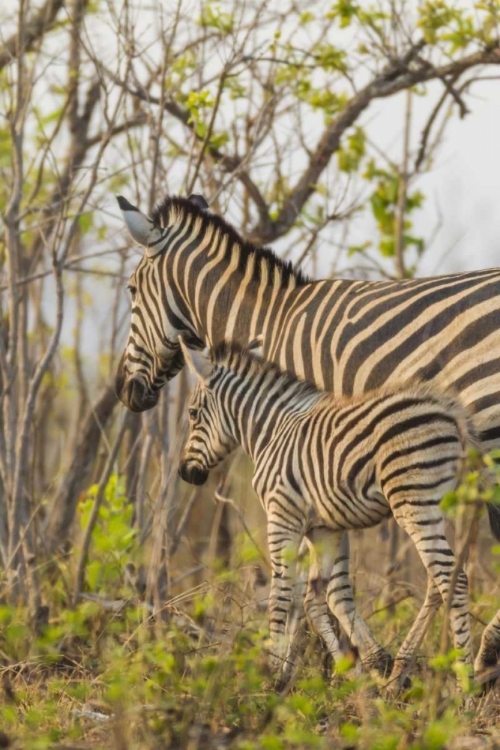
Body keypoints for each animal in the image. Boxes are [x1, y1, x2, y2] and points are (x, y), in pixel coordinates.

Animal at [180, 340, 480, 692]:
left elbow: (281, 595)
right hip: (438, 505)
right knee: (440, 579)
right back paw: (399, 675)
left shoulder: (281, 516)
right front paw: (351, 674)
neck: (271, 433)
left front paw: (271, 676)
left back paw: (465, 685)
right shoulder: (324, 529)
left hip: (413, 502)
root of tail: (450, 410)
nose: (186, 474)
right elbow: (316, 598)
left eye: (192, 413)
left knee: (450, 578)